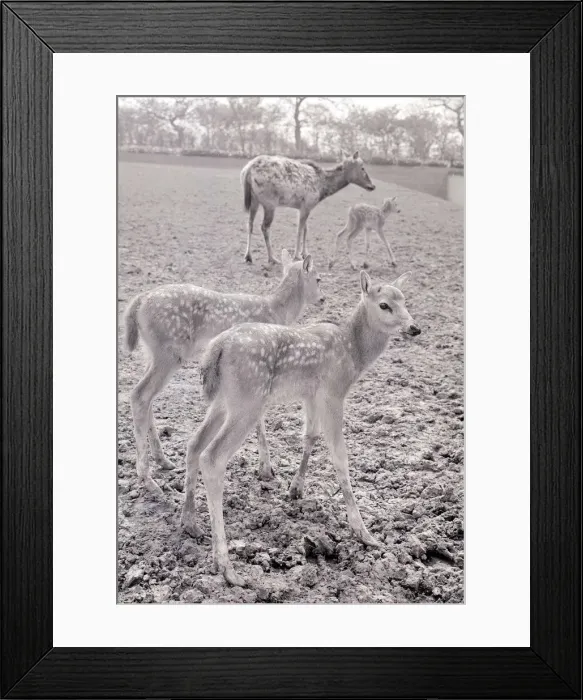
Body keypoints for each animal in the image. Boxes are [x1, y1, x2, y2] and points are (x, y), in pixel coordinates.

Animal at [123, 250, 324, 498]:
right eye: (318, 279)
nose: (323, 299)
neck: (278, 310)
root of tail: (139, 301)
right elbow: (259, 421)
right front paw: (266, 468)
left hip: (151, 352)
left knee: (145, 396)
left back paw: (163, 460)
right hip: (168, 353)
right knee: (140, 395)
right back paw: (147, 478)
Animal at [181, 270, 421, 586]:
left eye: (404, 300)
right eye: (384, 305)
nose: (414, 328)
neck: (354, 352)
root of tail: (216, 349)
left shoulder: (311, 394)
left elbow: (310, 436)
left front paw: (296, 489)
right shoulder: (334, 392)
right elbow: (340, 457)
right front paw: (362, 531)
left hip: (224, 401)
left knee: (194, 443)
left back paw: (189, 523)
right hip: (248, 399)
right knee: (212, 457)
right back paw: (226, 567)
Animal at [241, 151, 375, 266]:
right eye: (362, 167)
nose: (372, 186)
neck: (322, 188)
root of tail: (248, 170)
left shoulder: (303, 207)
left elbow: (306, 229)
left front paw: (305, 253)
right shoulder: (308, 203)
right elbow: (300, 230)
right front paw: (297, 255)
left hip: (254, 200)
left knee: (250, 223)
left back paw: (248, 256)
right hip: (270, 202)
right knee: (264, 227)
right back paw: (272, 258)